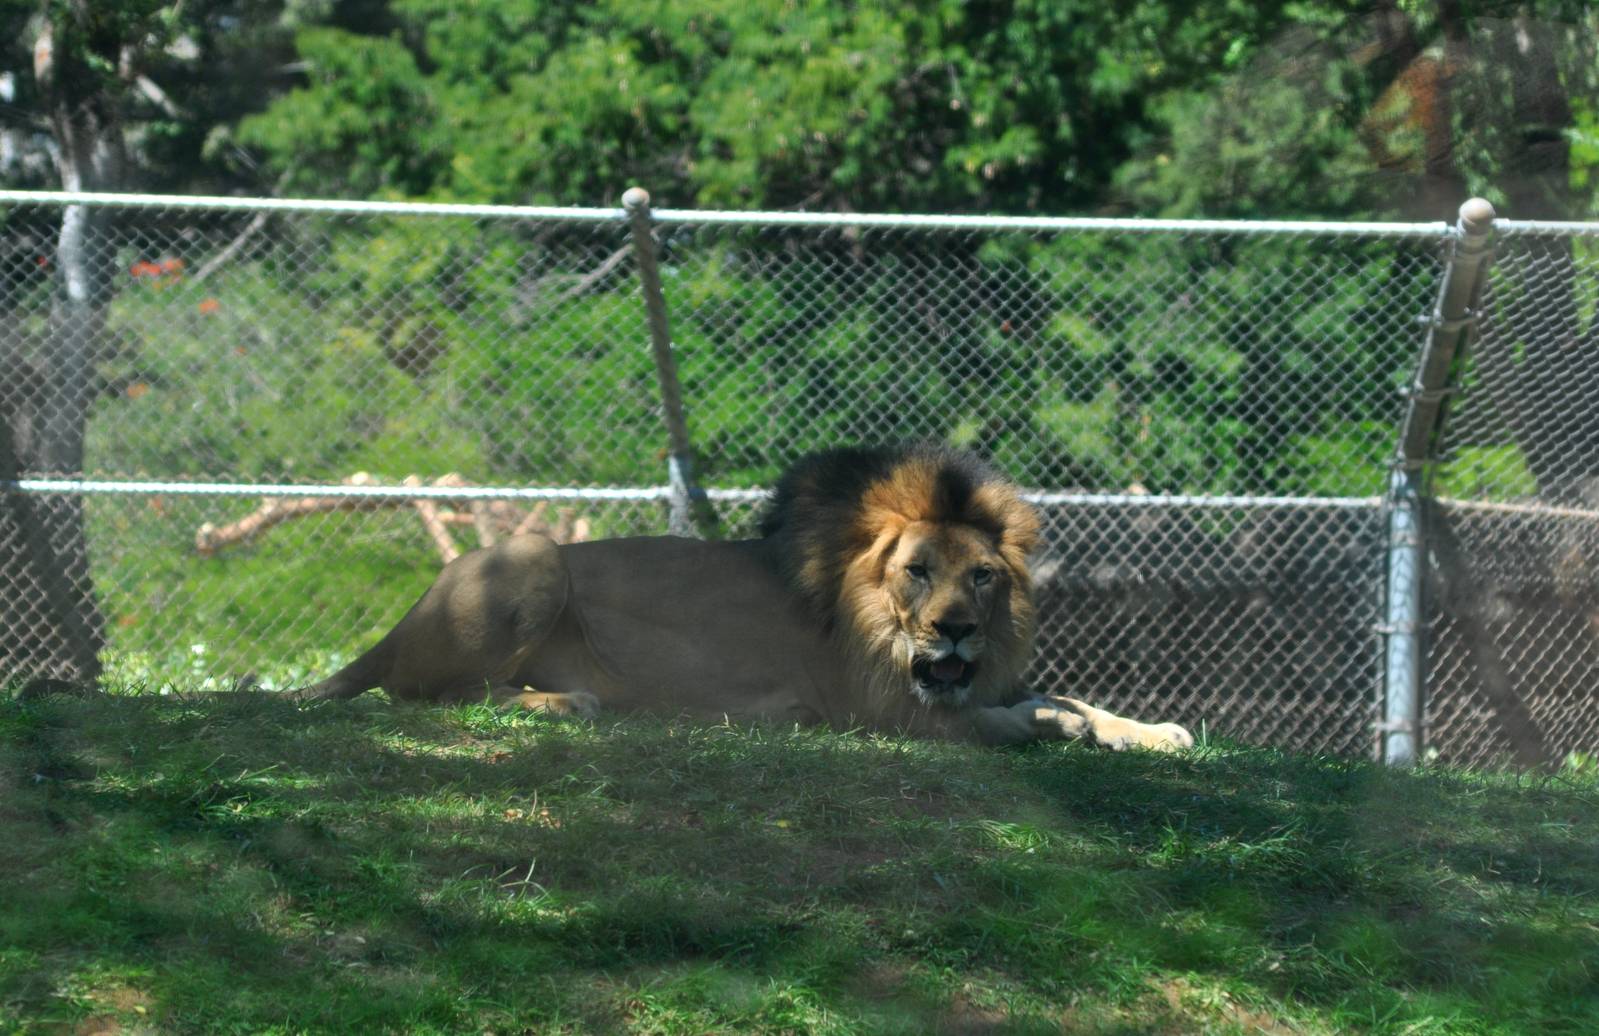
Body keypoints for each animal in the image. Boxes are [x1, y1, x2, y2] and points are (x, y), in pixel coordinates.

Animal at [291, 444, 1193, 750]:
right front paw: (1053, 724)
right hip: (534, 554)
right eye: (915, 571)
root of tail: (395, 624)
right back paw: (562, 702)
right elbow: (1005, 718)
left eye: (981, 575)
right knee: (434, 696)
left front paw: (1154, 732)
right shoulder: (874, 712)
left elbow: (1068, 694)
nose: (956, 631)